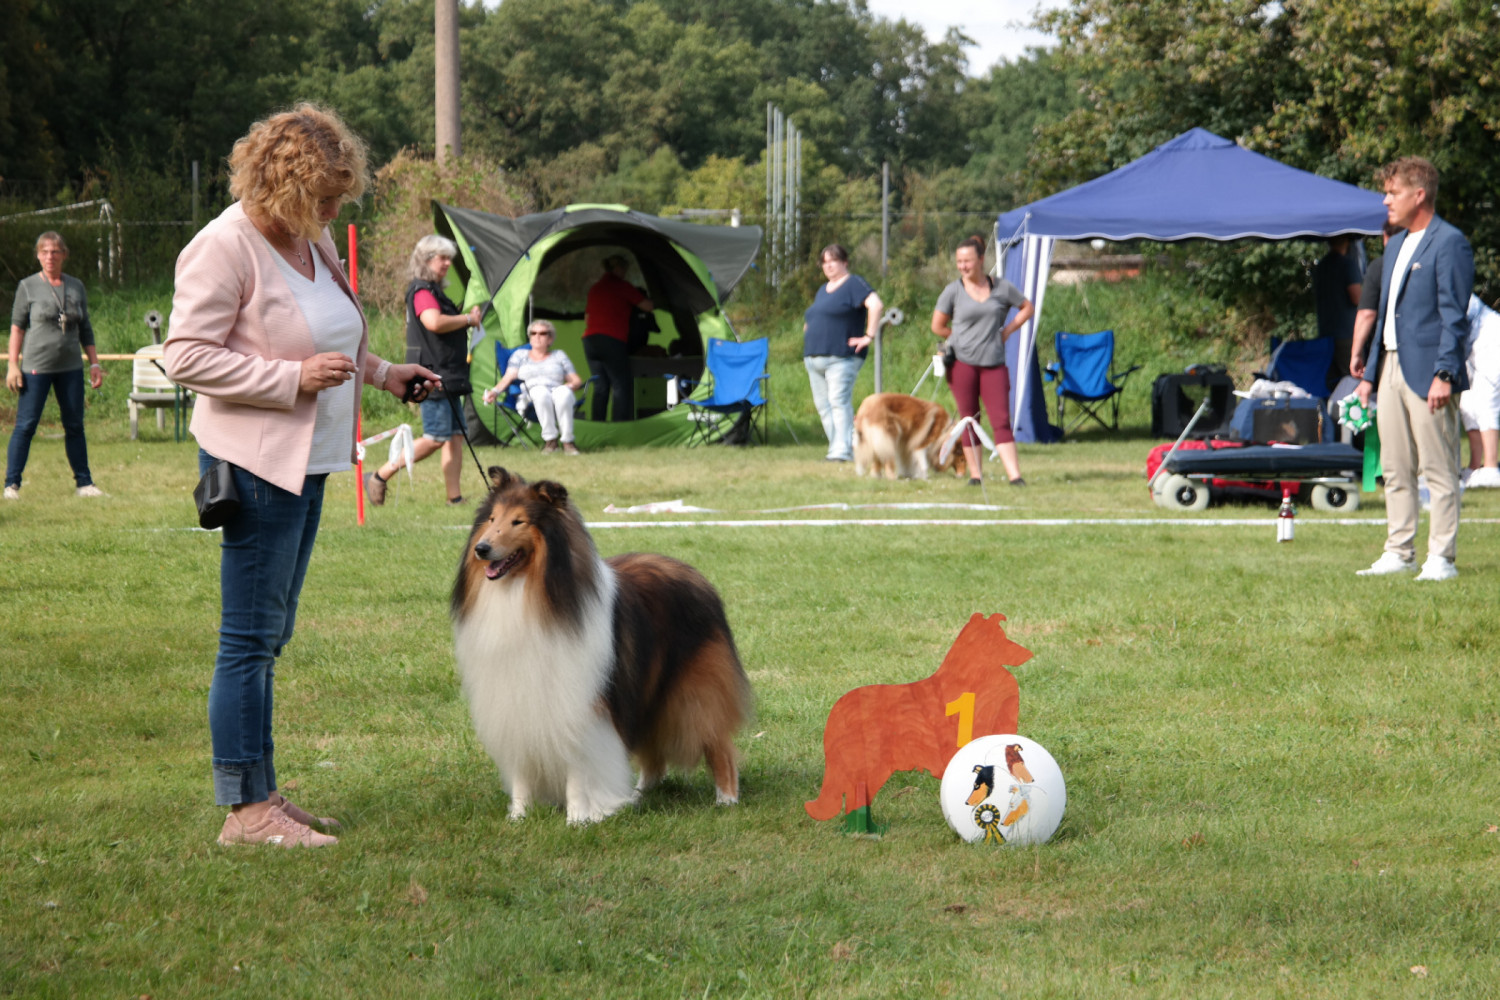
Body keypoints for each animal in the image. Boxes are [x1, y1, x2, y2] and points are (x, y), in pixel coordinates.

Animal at [452, 467, 751, 825]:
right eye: (492, 518)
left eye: (518, 521)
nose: (481, 549)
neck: (527, 593)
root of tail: (699, 578)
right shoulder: (518, 703)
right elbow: (522, 769)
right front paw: (519, 817)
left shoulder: (579, 705)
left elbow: (578, 768)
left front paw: (578, 819)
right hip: (646, 689)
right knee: (654, 758)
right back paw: (636, 796)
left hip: (693, 693)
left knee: (719, 745)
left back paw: (727, 799)